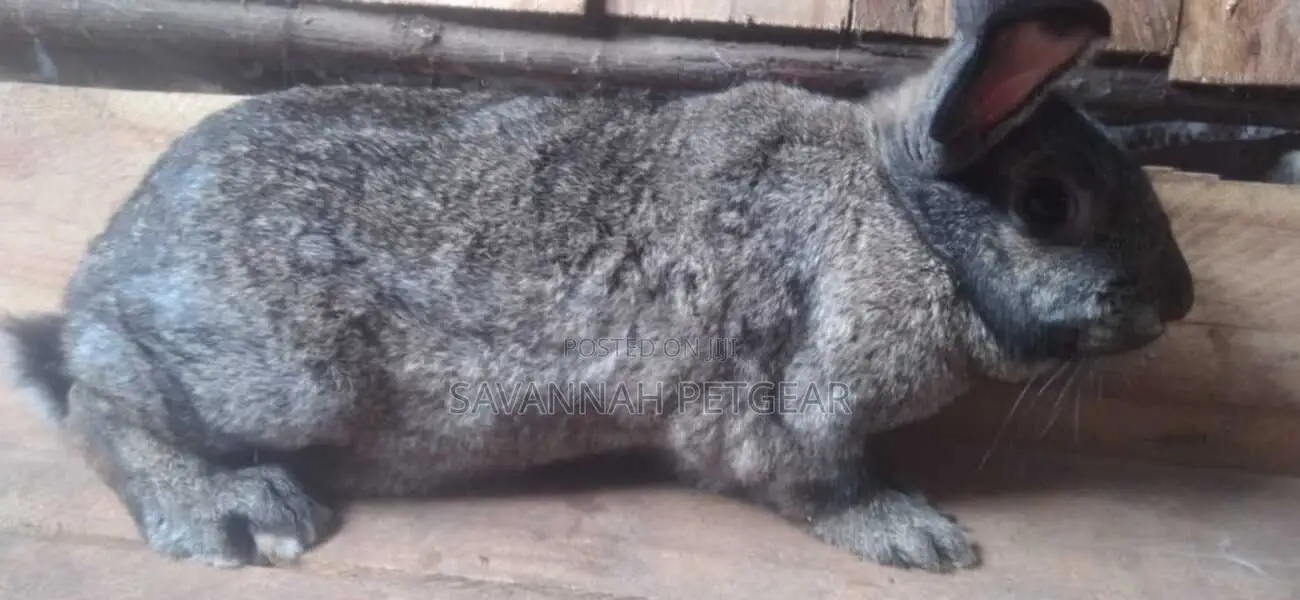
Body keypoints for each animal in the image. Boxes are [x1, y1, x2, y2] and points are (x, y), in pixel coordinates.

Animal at [1, 0, 1193, 574]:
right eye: (1047, 206)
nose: (1178, 303)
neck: (904, 217)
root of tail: (100, 277)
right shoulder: (795, 405)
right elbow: (821, 484)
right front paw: (919, 537)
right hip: (278, 377)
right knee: (101, 399)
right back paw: (237, 514)